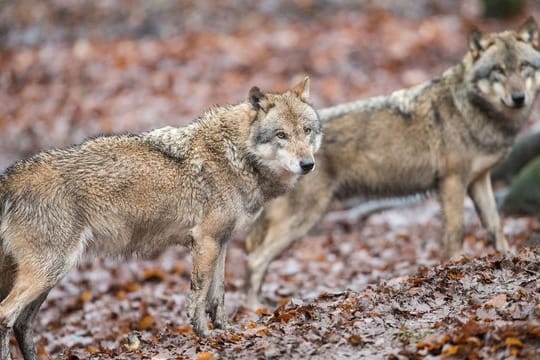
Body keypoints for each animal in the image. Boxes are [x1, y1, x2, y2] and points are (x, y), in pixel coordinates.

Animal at [0, 77, 320, 358]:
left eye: (307, 131)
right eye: (281, 135)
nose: (308, 164)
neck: (236, 155)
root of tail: (10, 178)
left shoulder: (222, 241)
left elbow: (218, 295)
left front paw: (227, 330)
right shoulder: (205, 240)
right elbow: (198, 295)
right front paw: (205, 335)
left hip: (51, 275)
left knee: (22, 323)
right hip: (52, 269)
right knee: (5, 315)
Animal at [244, 17, 540, 310]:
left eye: (523, 67)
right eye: (498, 70)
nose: (519, 98)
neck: (470, 110)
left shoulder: (479, 180)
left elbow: (495, 225)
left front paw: (508, 257)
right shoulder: (452, 181)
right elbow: (456, 232)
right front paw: (457, 266)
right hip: (304, 218)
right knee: (255, 259)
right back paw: (253, 309)